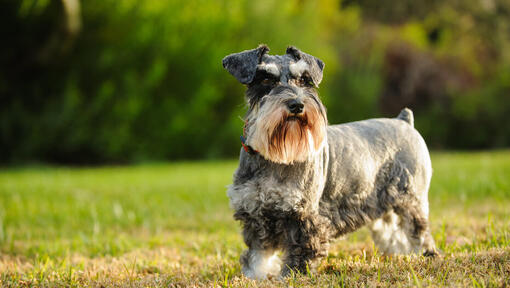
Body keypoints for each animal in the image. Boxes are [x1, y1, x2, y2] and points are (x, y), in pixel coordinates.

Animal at [221, 44, 436, 280]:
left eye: (304, 79)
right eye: (266, 79)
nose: (297, 104)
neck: (273, 158)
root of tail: (404, 121)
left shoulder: (304, 217)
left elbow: (300, 255)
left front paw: (290, 277)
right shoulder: (255, 215)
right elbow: (258, 256)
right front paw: (253, 277)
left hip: (411, 199)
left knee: (419, 232)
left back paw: (425, 256)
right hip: (383, 206)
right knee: (394, 235)